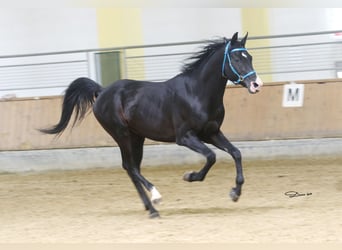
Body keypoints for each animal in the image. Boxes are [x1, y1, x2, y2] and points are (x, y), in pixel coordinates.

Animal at [40, 32, 264, 218]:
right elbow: (211, 156)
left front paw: (235, 193)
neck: (197, 92)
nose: (256, 84)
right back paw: (155, 198)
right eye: (237, 59)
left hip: (137, 136)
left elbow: (236, 153)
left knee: (132, 168)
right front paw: (190, 176)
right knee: (131, 167)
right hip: (122, 134)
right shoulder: (185, 137)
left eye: (250, 57)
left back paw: (151, 208)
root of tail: (102, 91)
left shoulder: (212, 133)